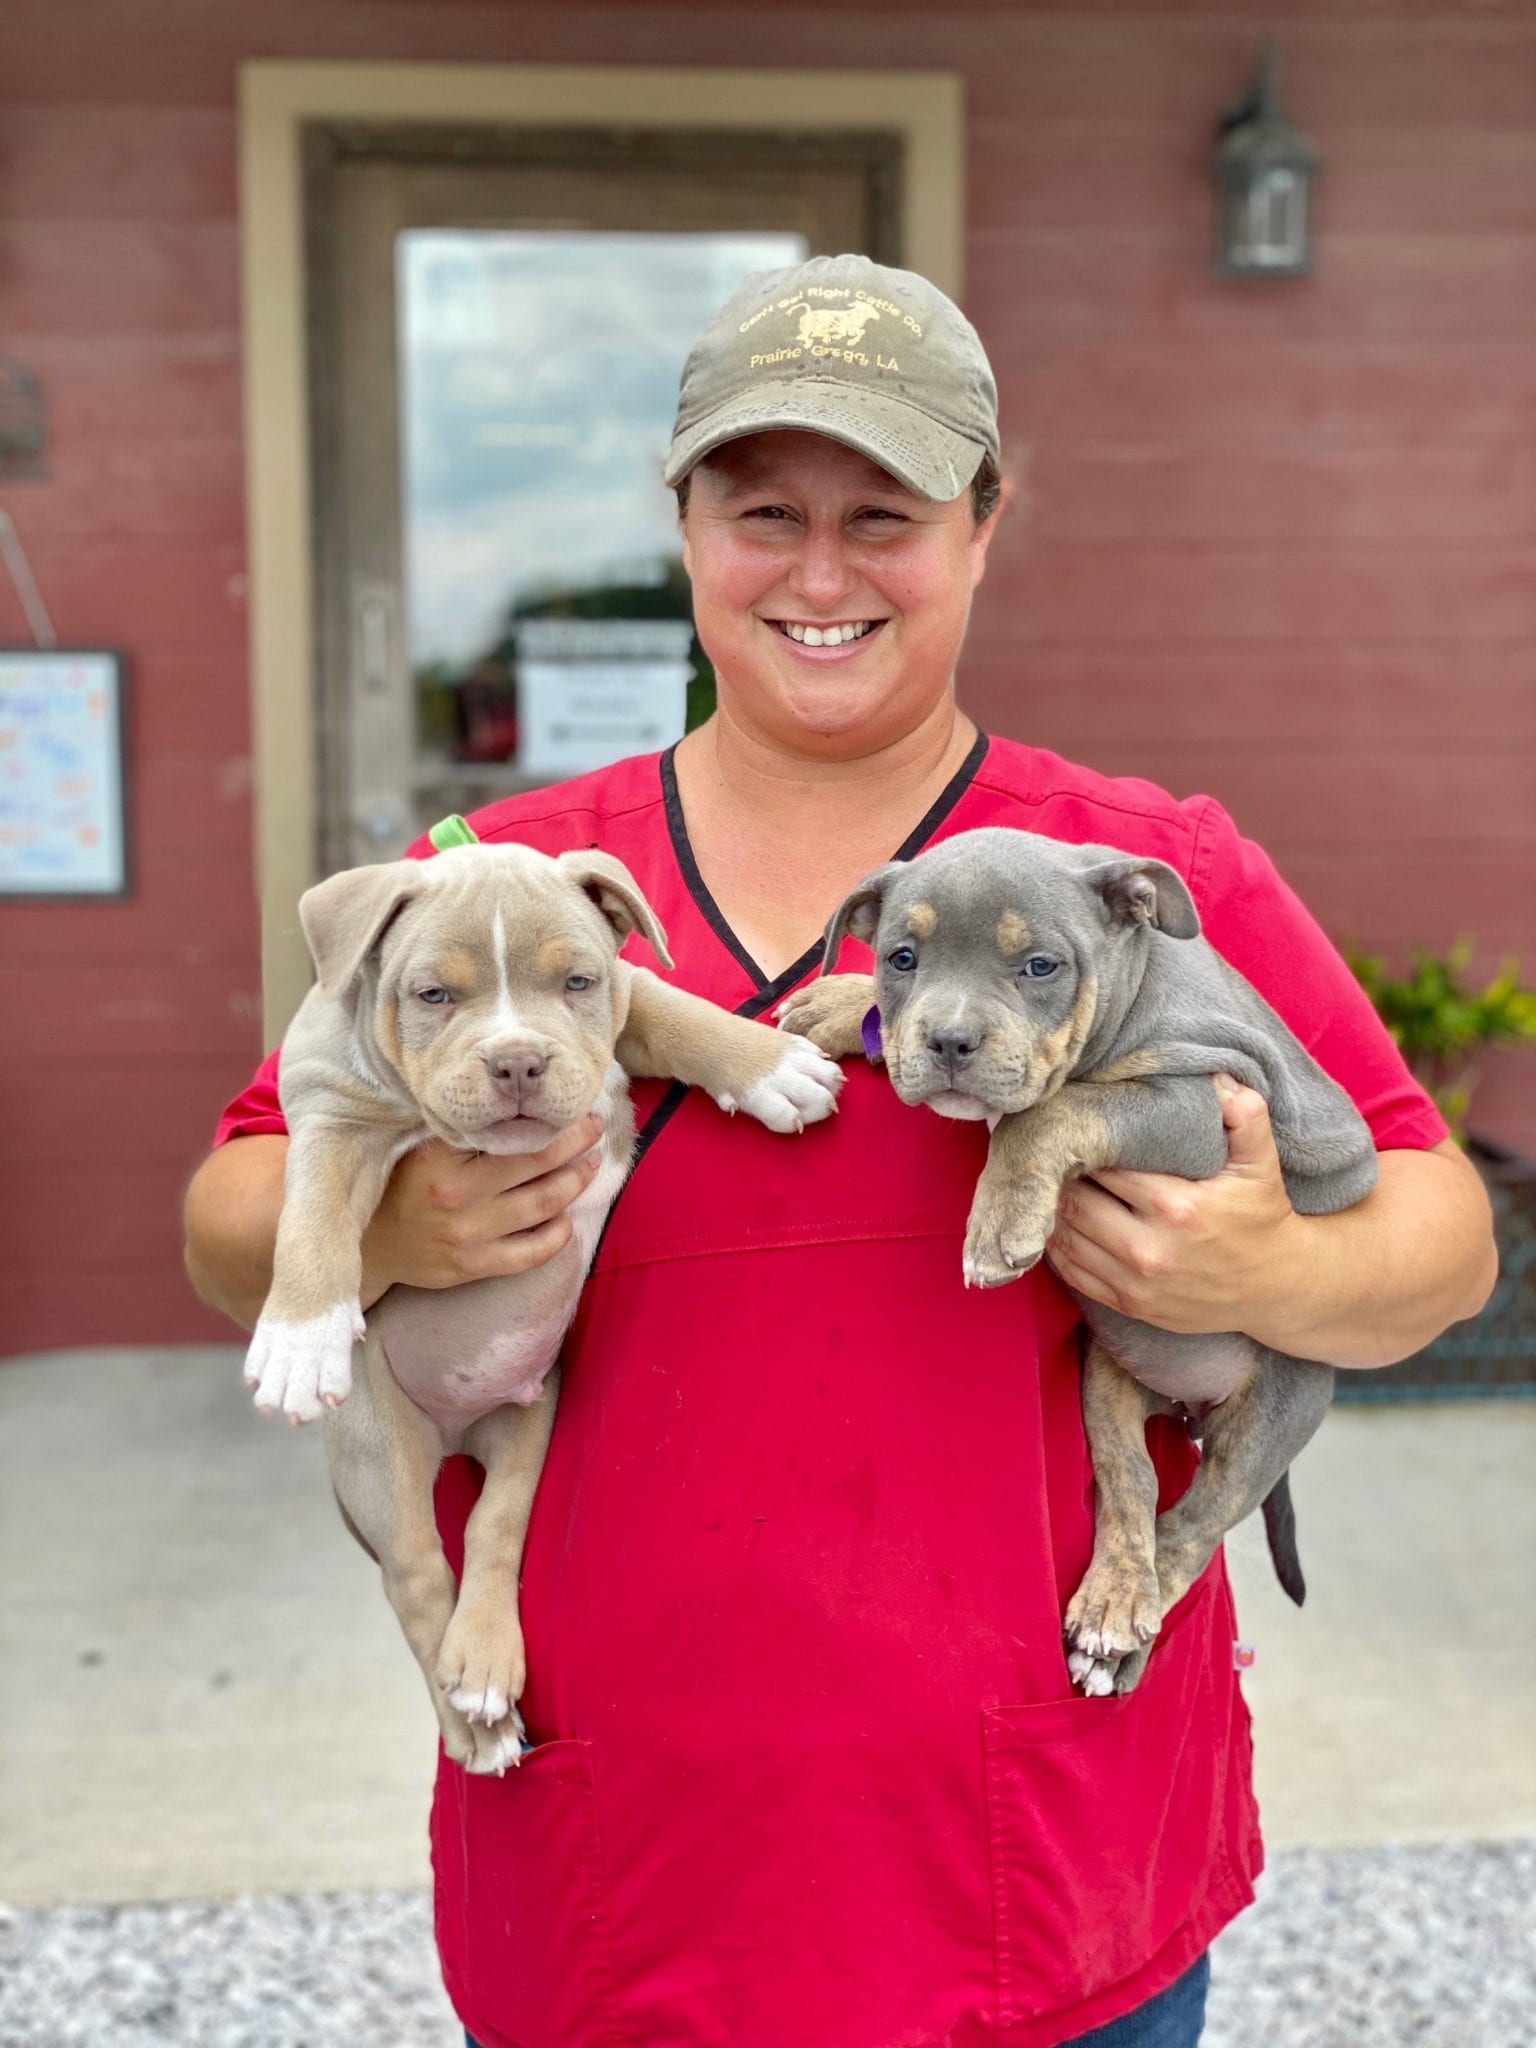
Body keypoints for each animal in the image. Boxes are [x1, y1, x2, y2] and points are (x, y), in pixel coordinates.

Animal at [782, 823, 1384, 1687]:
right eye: (901, 958)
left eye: (1040, 967)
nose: (950, 1040)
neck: (1132, 991)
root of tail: (1188, 1405)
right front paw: (839, 1002)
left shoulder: (1195, 1109)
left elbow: (1053, 1109)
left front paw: (999, 1224)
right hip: (1108, 1380)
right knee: (1134, 1487)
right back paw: (1111, 1601)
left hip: (1275, 1409)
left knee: (1193, 1527)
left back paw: (1120, 1647)